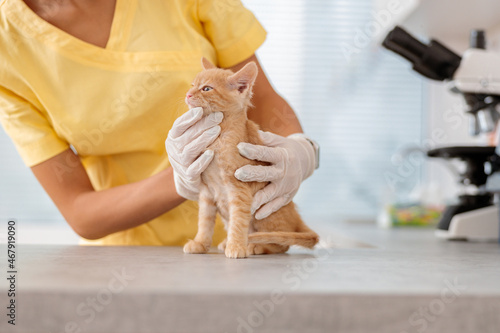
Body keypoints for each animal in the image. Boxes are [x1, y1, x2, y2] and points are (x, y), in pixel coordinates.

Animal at [182, 57, 318, 256]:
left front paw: (237, 246)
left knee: (281, 244)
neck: (218, 139)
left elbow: (238, 222)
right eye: (192, 85)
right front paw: (200, 243)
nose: (188, 95)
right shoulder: (206, 192)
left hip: (266, 215)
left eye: (206, 88)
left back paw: (254, 245)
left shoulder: (240, 190)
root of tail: (295, 218)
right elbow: (205, 221)